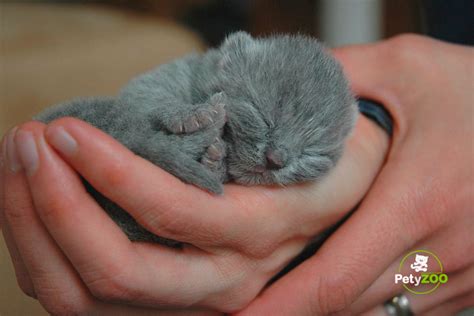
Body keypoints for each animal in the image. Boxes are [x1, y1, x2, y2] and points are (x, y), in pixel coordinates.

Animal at [37, 31, 356, 244]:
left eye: (312, 153)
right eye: (263, 115)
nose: (276, 159)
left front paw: (216, 160)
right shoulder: (152, 83)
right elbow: (152, 96)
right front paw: (191, 116)